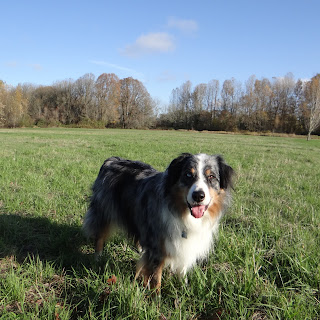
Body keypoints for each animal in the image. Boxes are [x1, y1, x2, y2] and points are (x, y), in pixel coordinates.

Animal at [82, 153, 234, 292]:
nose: (198, 195)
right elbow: (156, 276)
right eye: (188, 175)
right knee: (100, 234)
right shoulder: (158, 246)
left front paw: (184, 287)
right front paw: (156, 298)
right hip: (105, 211)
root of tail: (111, 160)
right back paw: (98, 257)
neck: (183, 213)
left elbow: (182, 267)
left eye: (211, 177)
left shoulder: (185, 243)